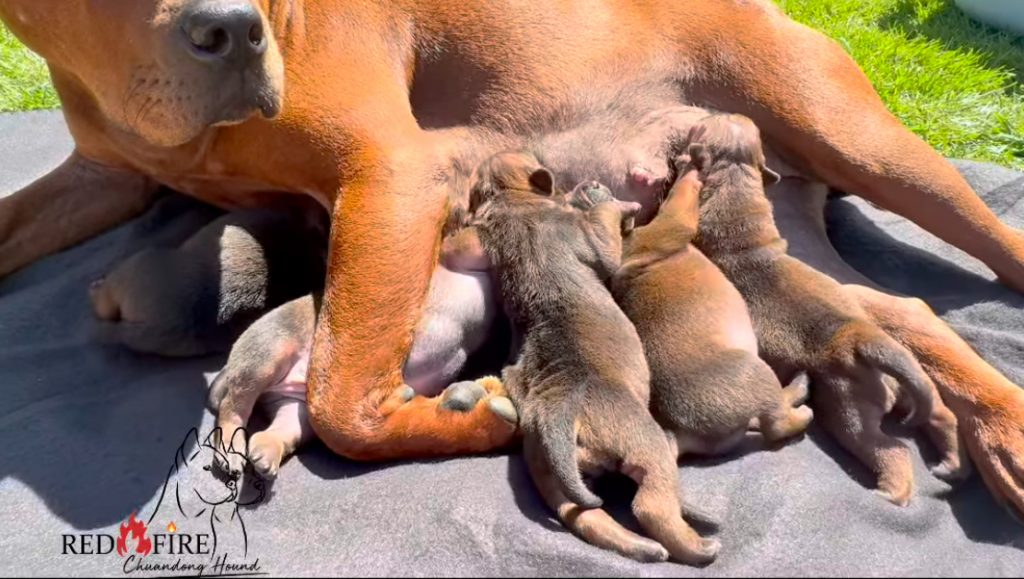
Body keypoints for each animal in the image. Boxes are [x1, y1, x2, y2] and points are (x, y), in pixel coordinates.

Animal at [609, 158, 812, 458]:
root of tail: (680, 432)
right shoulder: (672, 222)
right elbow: (681, 194)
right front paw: (691, 169)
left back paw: (798, 387)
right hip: (757, 374)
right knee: (776, 424)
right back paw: (802, 410)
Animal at [686, 114, 966, 505]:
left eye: (705, 124)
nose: (713, 113)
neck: (735, 189)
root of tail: (863, 339)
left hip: (847, 410)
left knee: (890, 450)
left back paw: (887, 494)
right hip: (914, 382)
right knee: (941, 414)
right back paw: (952, 464)